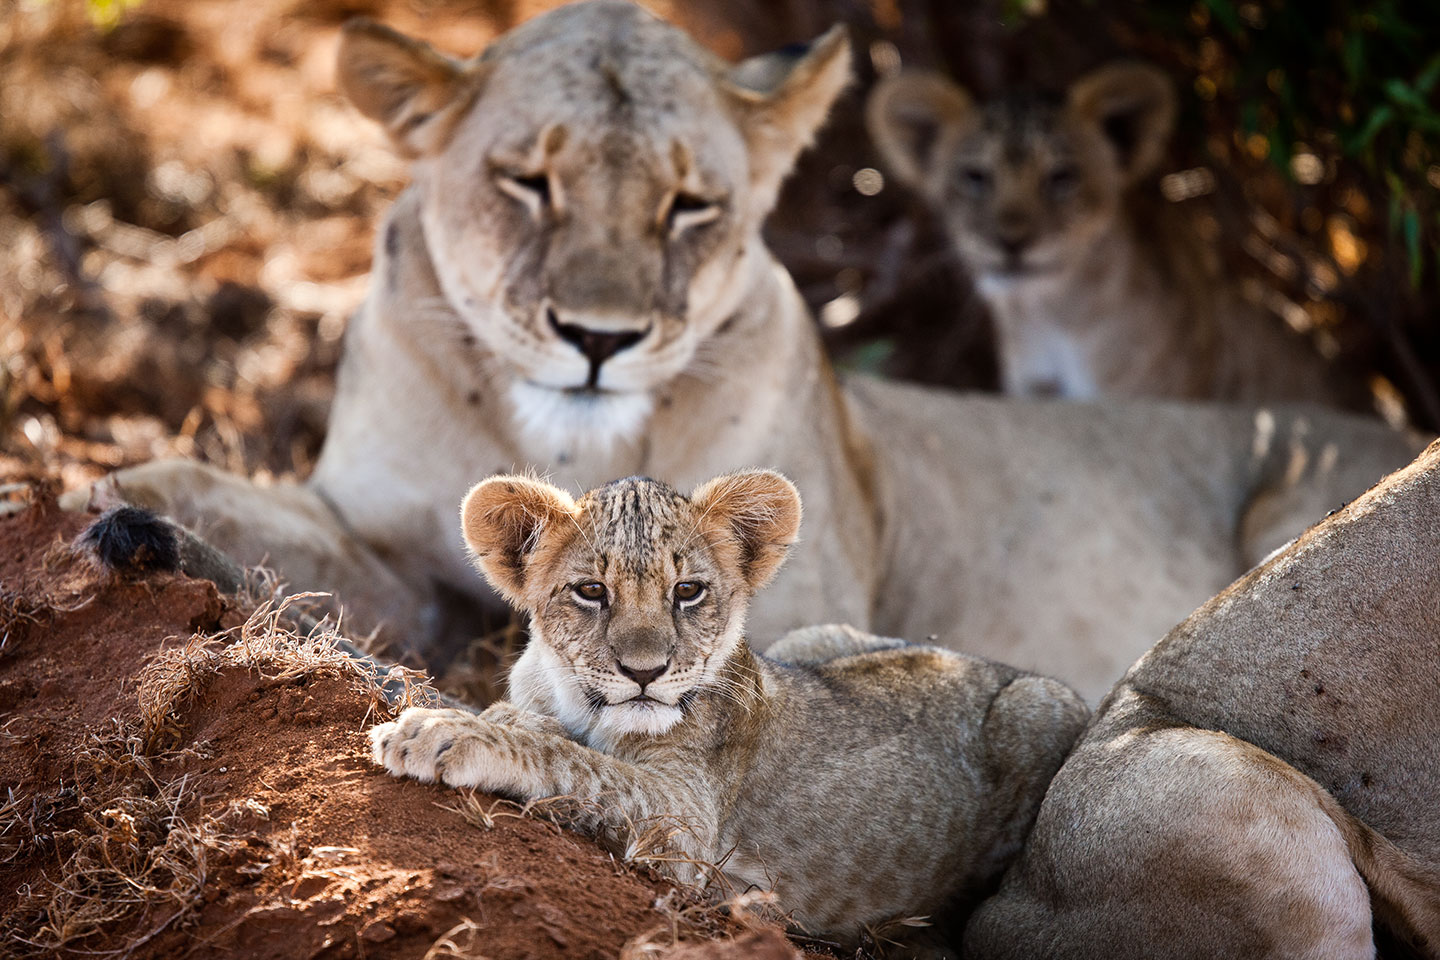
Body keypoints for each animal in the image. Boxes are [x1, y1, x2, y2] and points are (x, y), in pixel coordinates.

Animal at [370, 469, 1089, 950]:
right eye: (591, 591)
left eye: (688, 590)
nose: (645, 673)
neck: (585, 706)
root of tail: (1002, 668)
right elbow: (544, 732)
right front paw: (503, 720)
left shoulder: (687, 830)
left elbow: (576, 764)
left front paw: (445, 732)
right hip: (819, 637)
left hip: (1039, 704)